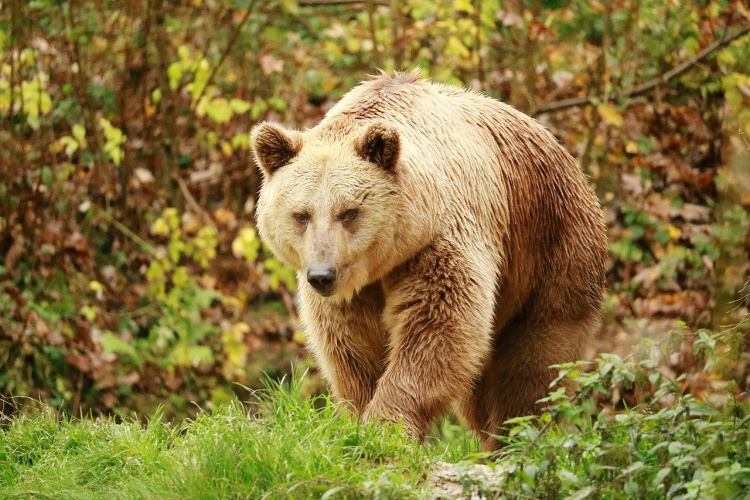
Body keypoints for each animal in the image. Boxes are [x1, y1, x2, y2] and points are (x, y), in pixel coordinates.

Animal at [250, 72, 608, 452]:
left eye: (349, 212)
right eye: (301, 215)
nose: (322, 275)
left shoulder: (437, 243)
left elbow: (437, 329)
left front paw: (387, 426)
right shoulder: (354, 292)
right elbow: (352, 347)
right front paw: (359, 419)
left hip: (550, 248)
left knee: (535, 362)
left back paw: (516, 438)